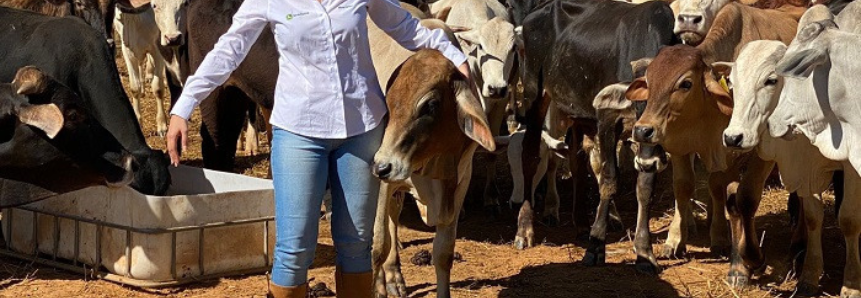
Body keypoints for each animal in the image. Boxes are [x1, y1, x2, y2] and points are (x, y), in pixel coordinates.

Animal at [512, 0, 676, 272]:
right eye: (641, 100)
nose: (650, 160)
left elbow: (645, 187)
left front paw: (644, 253)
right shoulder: (606, 119)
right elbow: (609, 180)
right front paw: (595, 248)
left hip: (577, 111)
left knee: (576, 161)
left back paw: (581, 223)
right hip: (535, 93)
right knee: (530, 154)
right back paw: (524, 230)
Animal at [628, 45, 776, 288]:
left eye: (686, 83)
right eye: (649, 80)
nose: (642, 131)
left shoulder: (751, 154)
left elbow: (740, 199)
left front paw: (741, 262)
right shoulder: (682, 147)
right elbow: (684, 187)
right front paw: (676, 240)